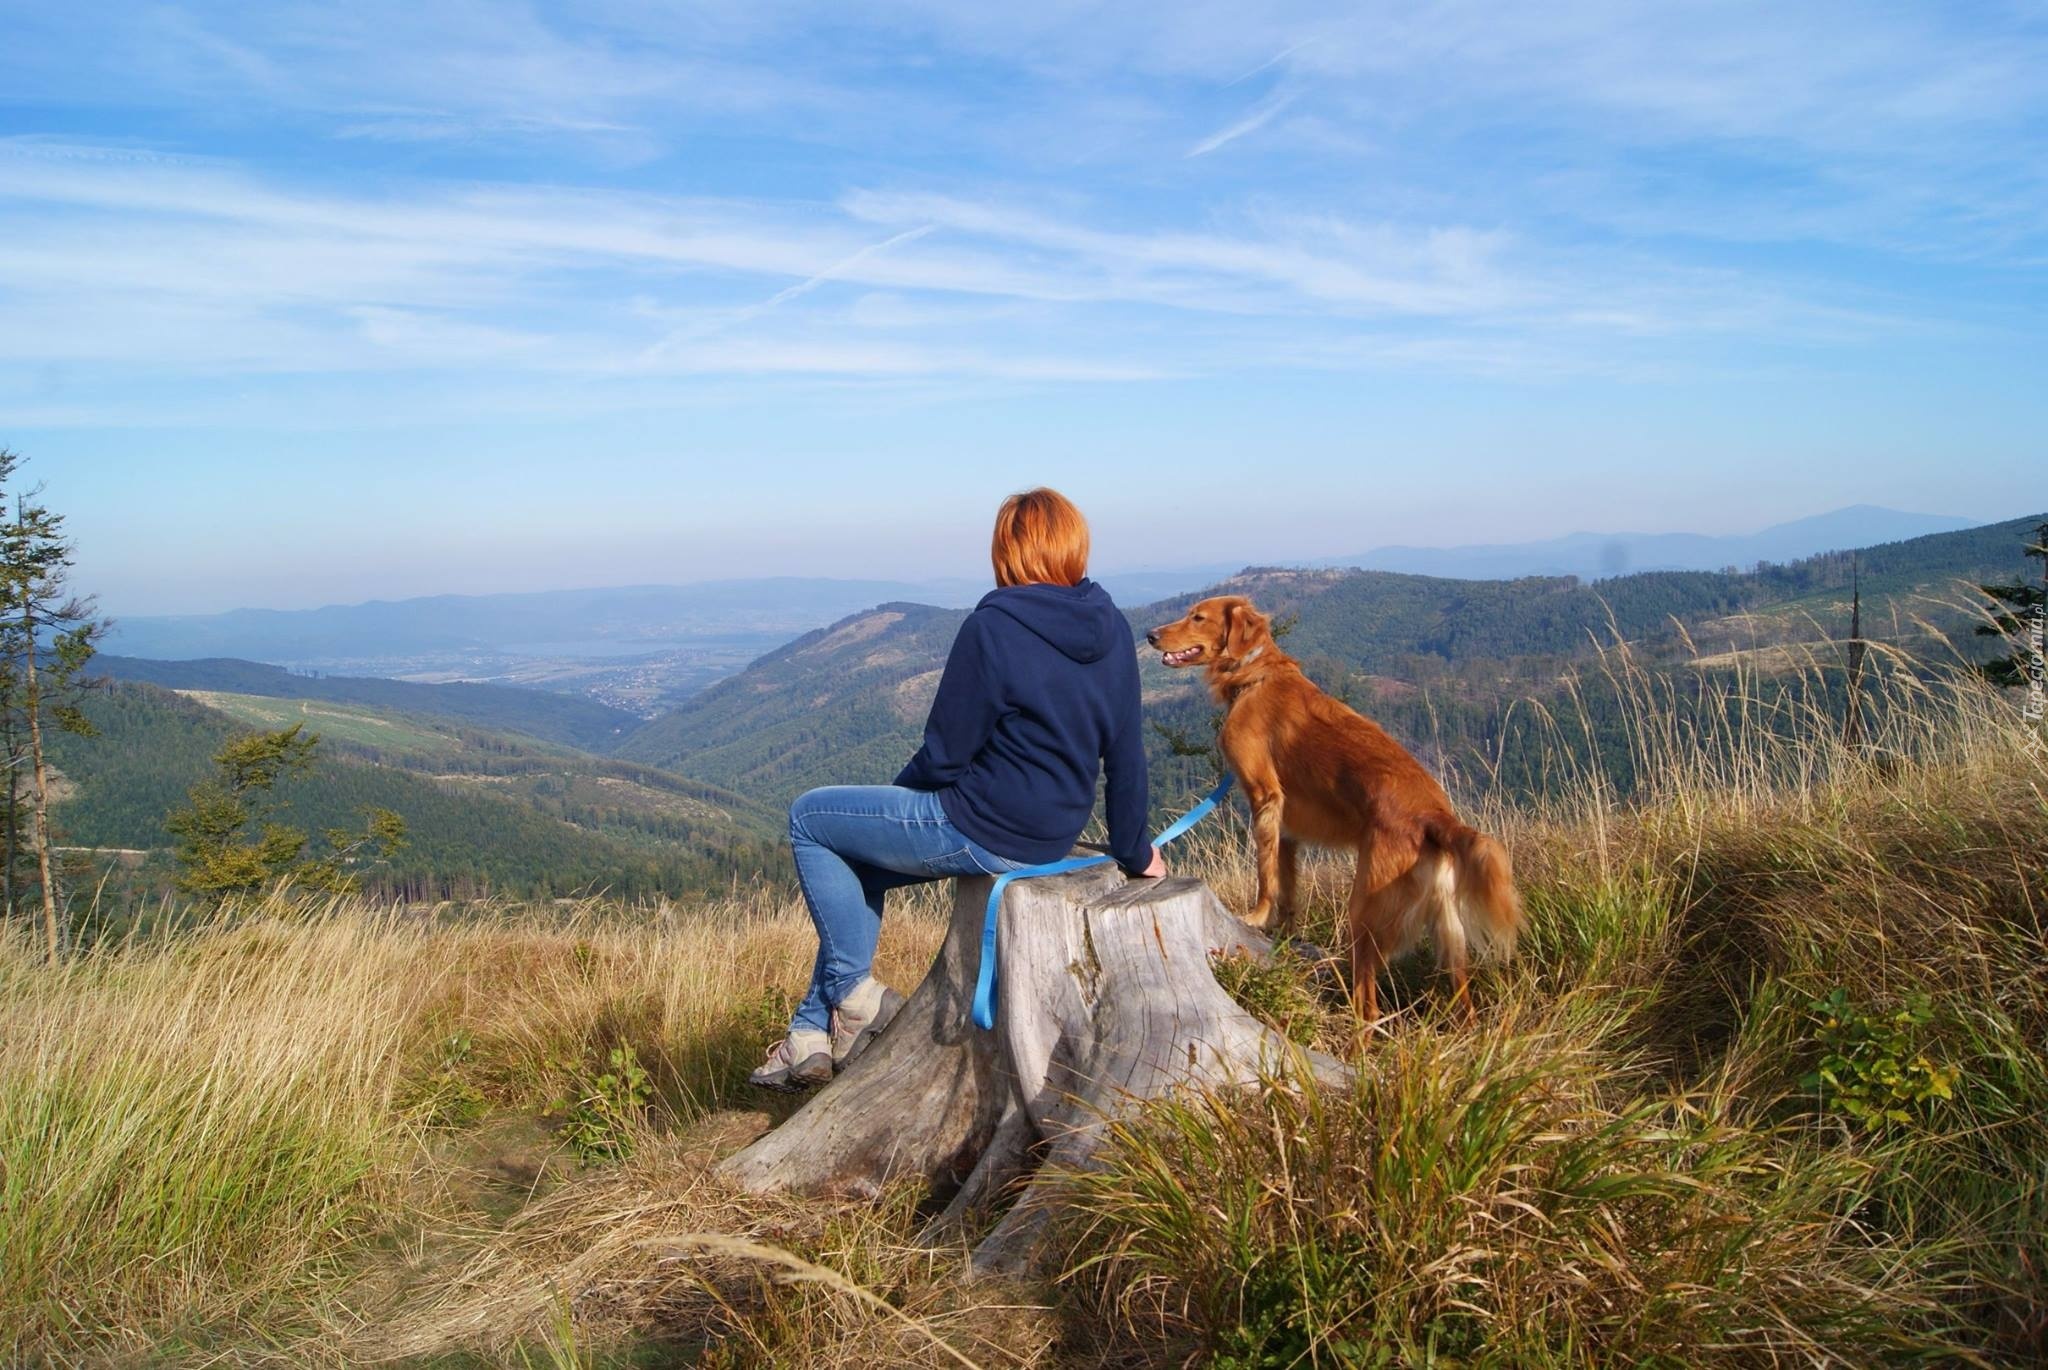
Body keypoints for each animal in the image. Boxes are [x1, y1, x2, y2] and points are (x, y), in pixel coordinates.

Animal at [1155, 593, 1523, 1019]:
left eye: (1198, 617)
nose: (1149, 635)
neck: (1253, 676)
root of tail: (1435, 816)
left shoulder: (1265, 797)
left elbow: (1265, 874)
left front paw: (1257, 916)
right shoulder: (1288, 830)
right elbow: (1287, 887)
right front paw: (1285, 936)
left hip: (1364, 912)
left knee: (1369, 1002)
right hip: (1448, 930)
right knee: (1460, 996)